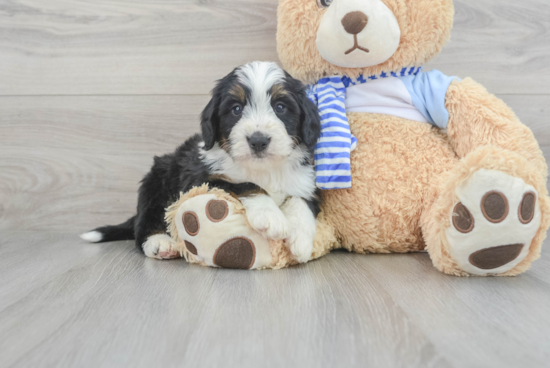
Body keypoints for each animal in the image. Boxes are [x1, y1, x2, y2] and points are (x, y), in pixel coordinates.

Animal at [81, 61, 324, 264]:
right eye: (236, 109)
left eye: (280, 107)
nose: (258, 141)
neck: (262, 169)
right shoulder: (200, 180)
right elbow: (245, 184)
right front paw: (270, 216)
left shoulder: (306, 182)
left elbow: (300, 200)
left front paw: (300, 241)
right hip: (155, 184)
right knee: (145, 224)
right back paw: (160, 243)